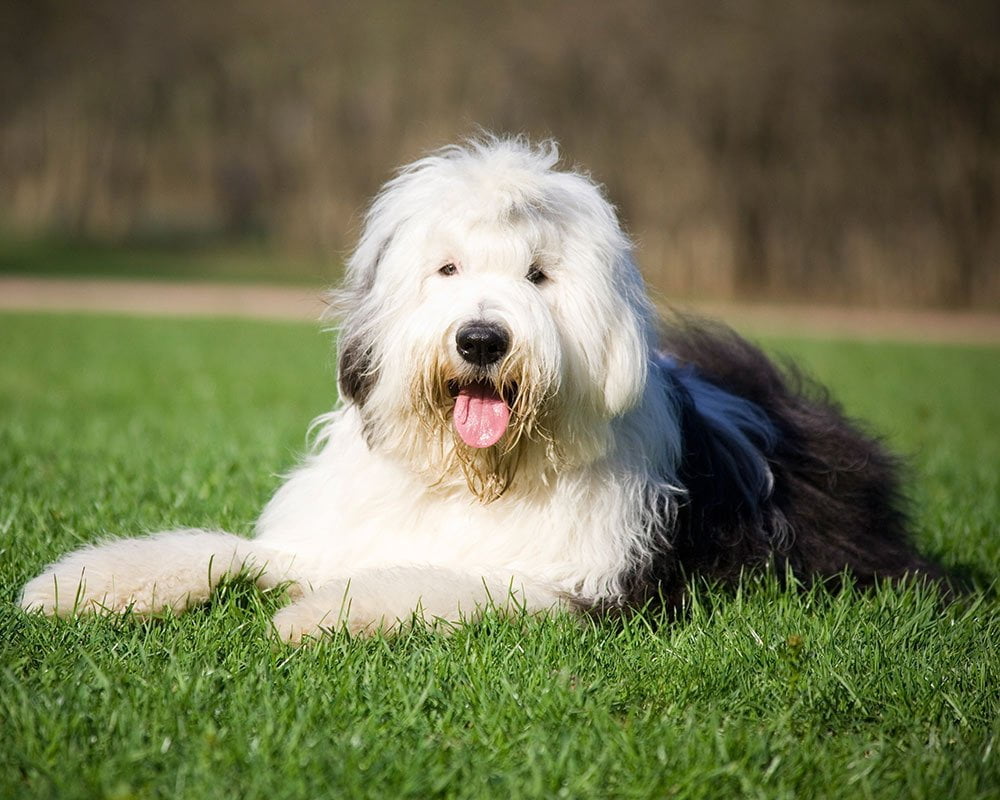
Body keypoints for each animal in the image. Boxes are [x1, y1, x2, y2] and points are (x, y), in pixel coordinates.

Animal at [17, 134, 936, 640]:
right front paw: (79, 586)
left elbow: (450, 581)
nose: (483, 340)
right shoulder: (323, 534)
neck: (473, 478)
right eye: (448, 269)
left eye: (538, 276)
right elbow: (219, 549)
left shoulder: (587, 586)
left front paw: (321, 614)